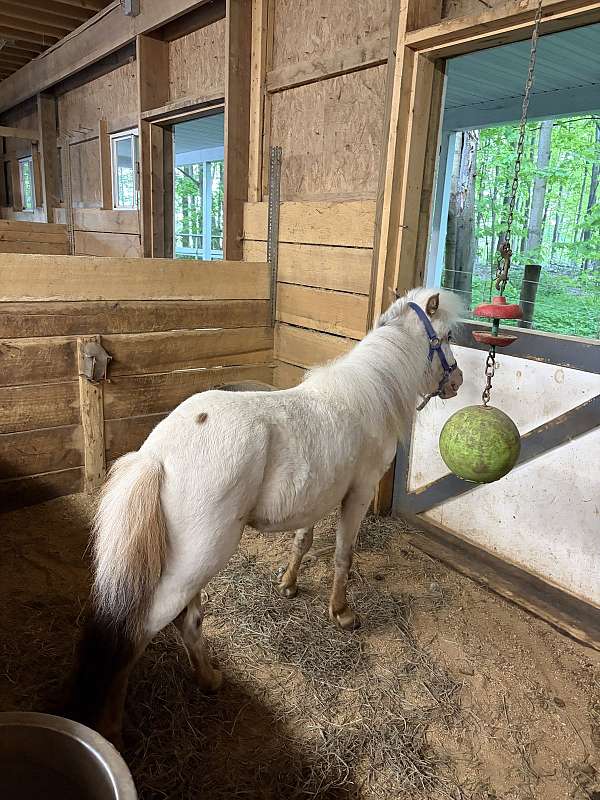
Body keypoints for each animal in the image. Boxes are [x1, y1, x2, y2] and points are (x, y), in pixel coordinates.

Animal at [68, 287, 463, 746]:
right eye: (447, 337)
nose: (456, 382)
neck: (366, 393)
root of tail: (157, 456)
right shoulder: (358, 494)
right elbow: (343, 556)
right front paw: (342, 613)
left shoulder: (318, 497)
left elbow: (303, 541)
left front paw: (288, 585)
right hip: (197, 562)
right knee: (141, 628)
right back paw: (113, 726)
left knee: (189, 620)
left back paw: (209, 679)